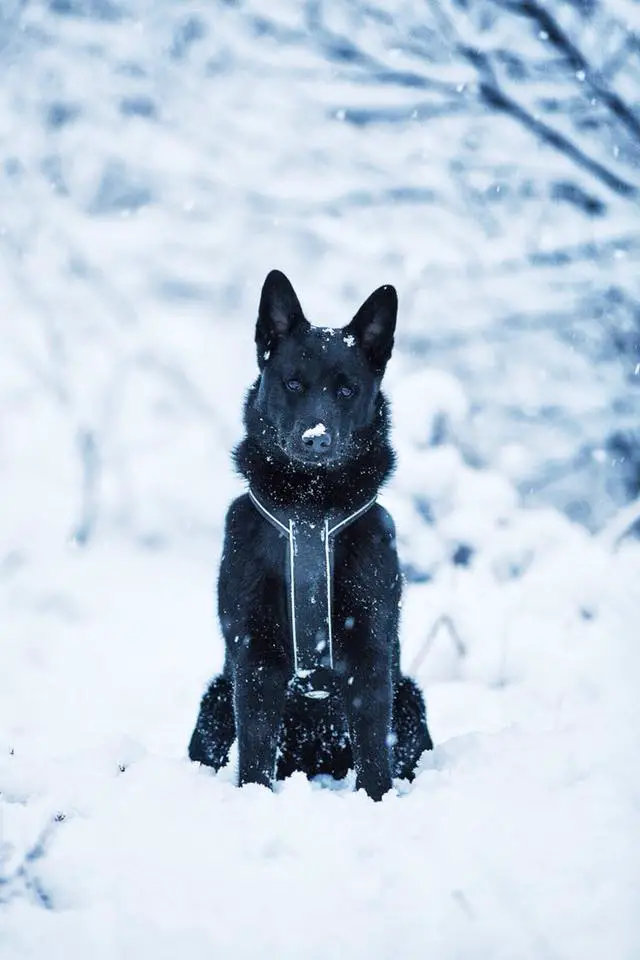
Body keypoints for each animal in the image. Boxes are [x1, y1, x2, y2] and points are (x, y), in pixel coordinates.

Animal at [188, 270, 432, 804]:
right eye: (293, 383)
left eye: (346, 390)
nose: (316, 439)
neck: (310, 508)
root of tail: (315, 763)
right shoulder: (253, 656)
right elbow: (256, 751)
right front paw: (253, 799)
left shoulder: (371, 652)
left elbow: (374, 752)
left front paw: (376, 803)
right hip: (215, 699)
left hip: (410, 699)